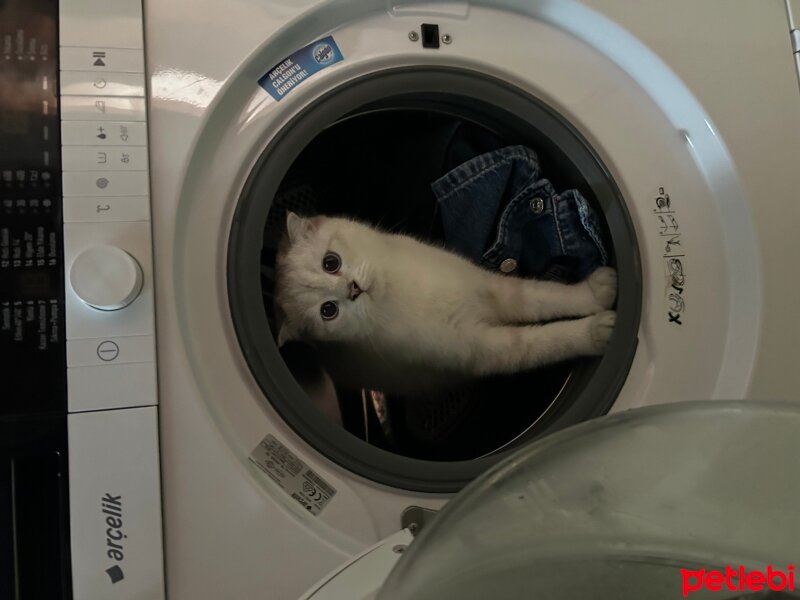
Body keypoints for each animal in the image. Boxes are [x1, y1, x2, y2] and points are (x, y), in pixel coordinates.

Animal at [276, 212, 620, 394]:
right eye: (328, 311)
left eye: (330, 263)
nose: (353, 290)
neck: (398, 294)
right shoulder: (485, 348)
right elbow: (546, 341)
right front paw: (596, 332)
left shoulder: (486, 287)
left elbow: (541, 295)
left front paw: (596, 292)